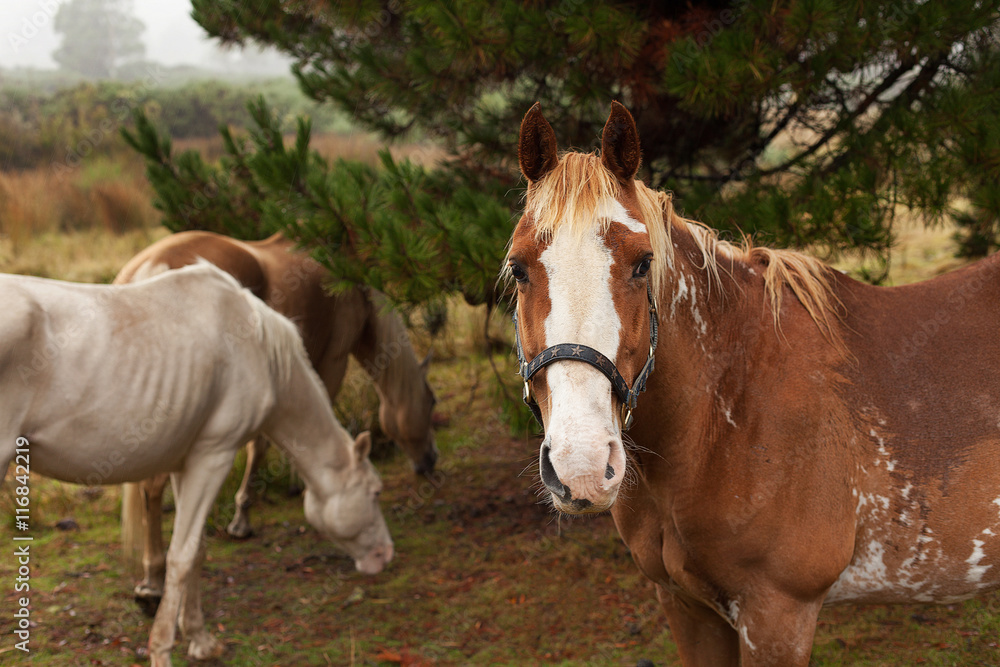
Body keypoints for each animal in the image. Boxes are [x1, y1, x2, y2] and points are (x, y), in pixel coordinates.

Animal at [0, 263, 393, 667]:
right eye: (376, 492)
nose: (386, 555)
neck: (259, 348)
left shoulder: (184, 463)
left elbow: (198, 549)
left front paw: (200, 639)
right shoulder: (214, 457)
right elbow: (183, 556)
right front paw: (162, 650)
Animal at [114, 230, 435, 610]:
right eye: (431, 403)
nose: (430, 461)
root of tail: (148, 267)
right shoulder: (332, 361)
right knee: (152, 487)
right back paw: (153, 578)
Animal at [508, 102, 1000, 666]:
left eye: (642, 263)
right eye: (518, 268)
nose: (583, 467)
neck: (728, 410)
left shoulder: (778, 615)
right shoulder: (687, 608)